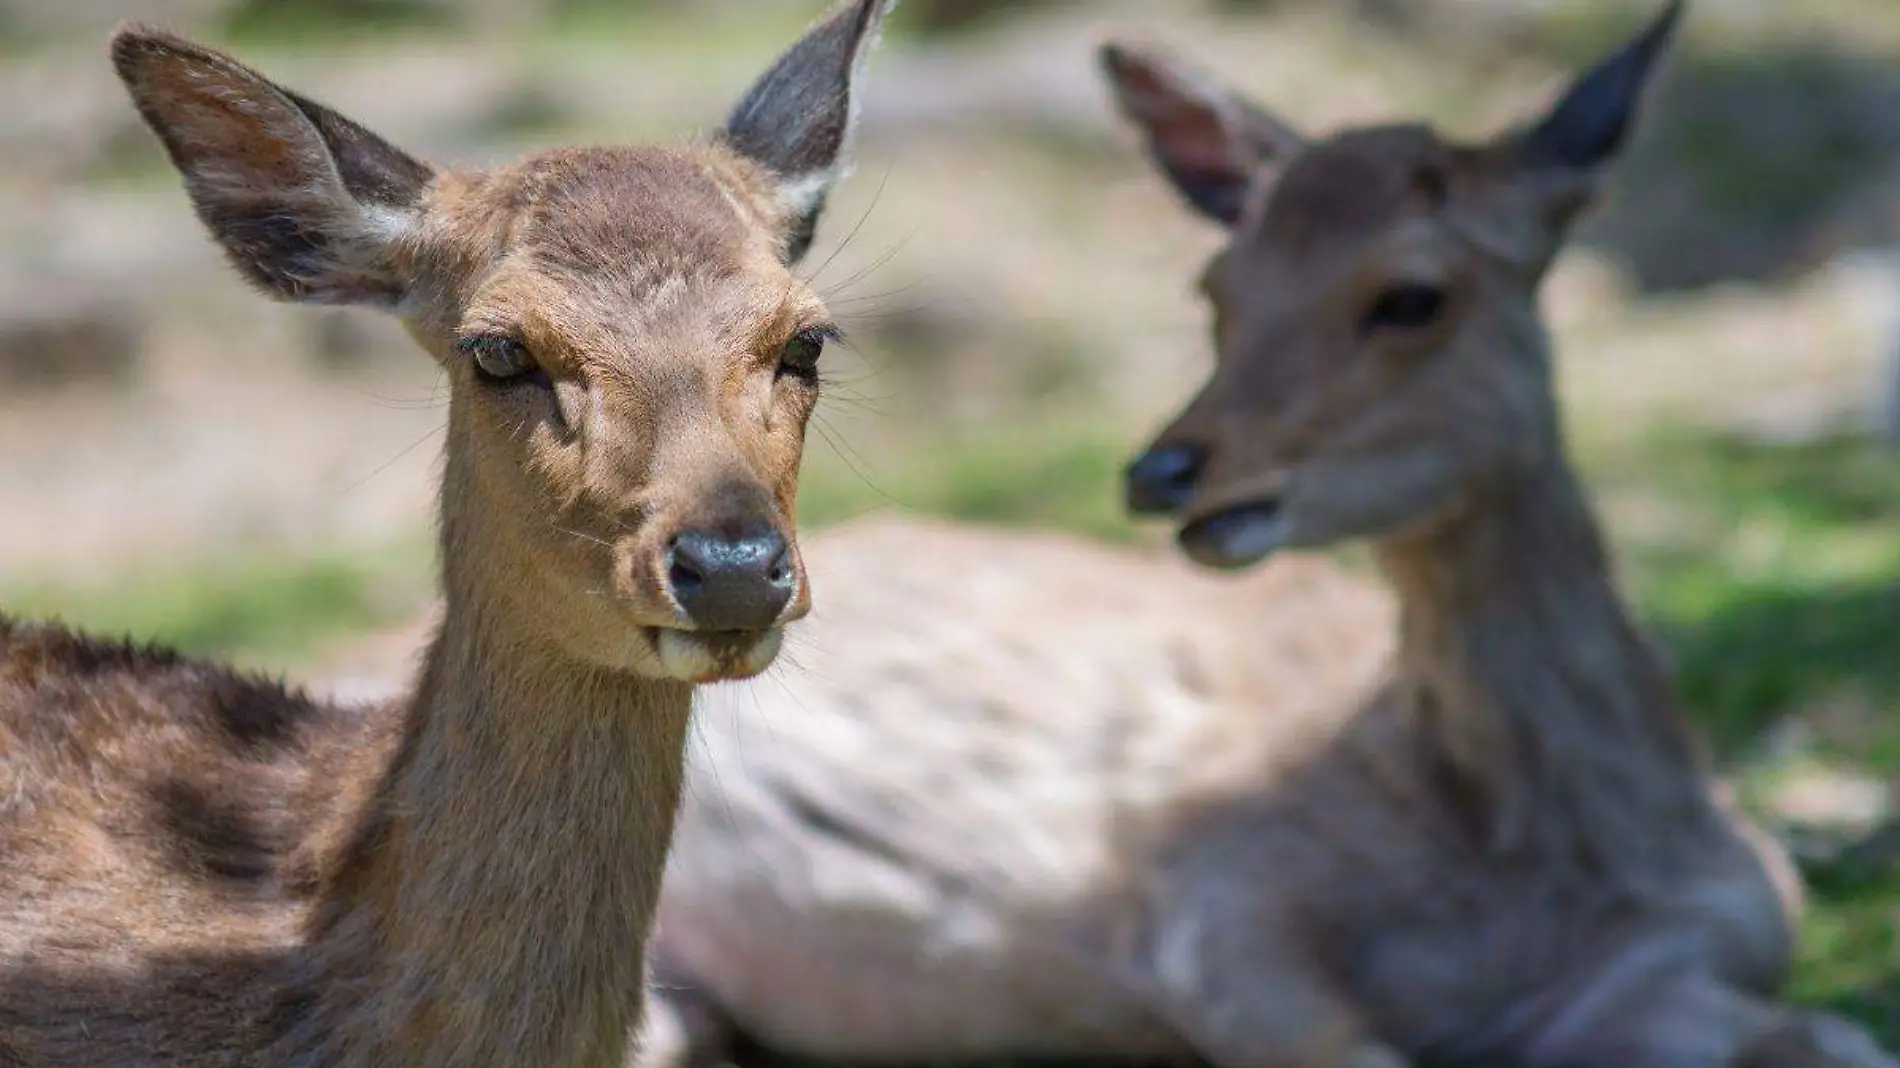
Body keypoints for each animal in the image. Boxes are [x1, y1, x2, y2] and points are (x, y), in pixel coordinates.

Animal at [623, 8, 1900, 1064]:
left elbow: (1837, 1037)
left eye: (1413, 295)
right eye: (1218, 288)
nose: (1164, 467)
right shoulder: (1212, 906)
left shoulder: (1694, 964)